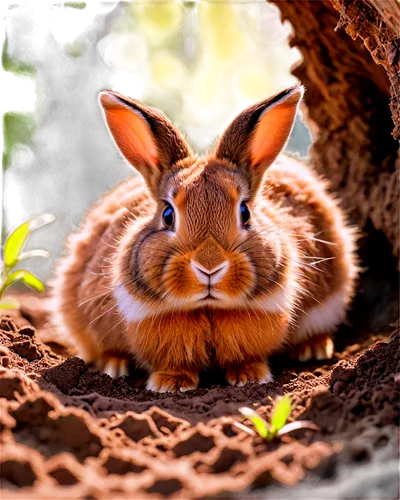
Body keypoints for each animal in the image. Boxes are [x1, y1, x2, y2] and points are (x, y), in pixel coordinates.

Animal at [50, 84, 360, 392]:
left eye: (245, 212)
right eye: (168, 215)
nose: (209, 267)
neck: (208, 307)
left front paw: (250, 376)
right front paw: (170, 384)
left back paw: (314, 348)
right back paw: (114, 366)